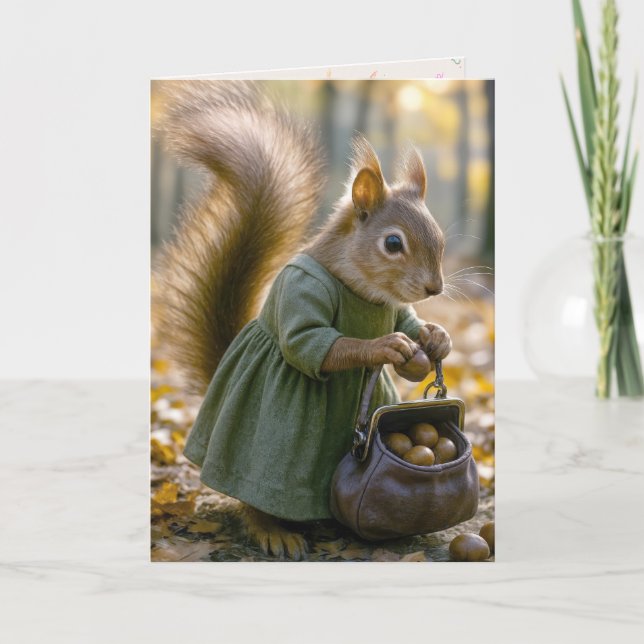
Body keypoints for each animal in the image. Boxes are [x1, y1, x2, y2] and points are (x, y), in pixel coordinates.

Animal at [153, 80, 452, 560]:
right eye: (393, 243)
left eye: (440, 237)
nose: (435, 288)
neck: (366, 293)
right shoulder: (302, 294)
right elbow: (312, 344)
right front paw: (382, 347)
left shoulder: (397, 308)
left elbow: (410, 329)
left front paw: (435, 338)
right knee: (249, 503)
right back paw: (273, 531)